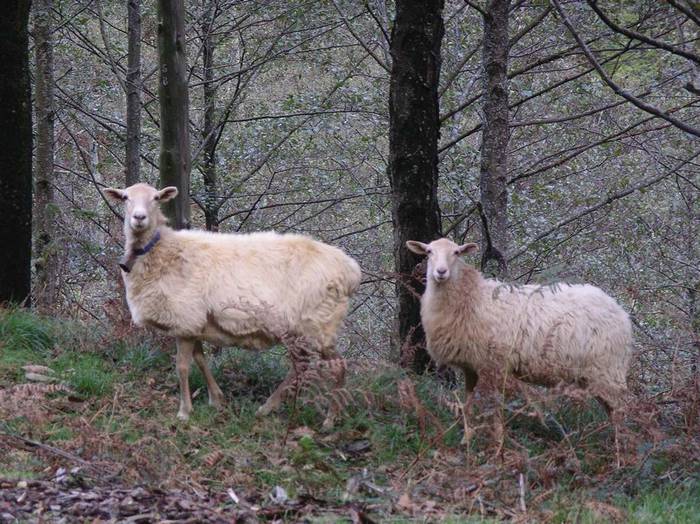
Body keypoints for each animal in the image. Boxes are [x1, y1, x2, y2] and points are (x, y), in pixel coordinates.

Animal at [106, 182, 364, 428]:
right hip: (301, 329)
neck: (161, 251)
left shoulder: (185, 319)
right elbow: (201, 359)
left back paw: (330, 418)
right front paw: (216, 399)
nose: (139, 218)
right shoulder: (195, 323)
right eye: (126, 197)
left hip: (319, 324)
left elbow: (182, 367)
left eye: (156, 198)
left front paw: (184, 412)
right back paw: (269, 408)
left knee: (337, 365)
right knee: (301, 366)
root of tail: (350, 270)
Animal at [404, 237, 636, 438]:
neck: (471, 297)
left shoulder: (494, 366)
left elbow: (495, 412)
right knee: (614, 414)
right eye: (429, 251)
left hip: (608, 371)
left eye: (457, 252)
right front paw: (467, 440)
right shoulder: (471, 367)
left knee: (621, 414)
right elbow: (468, 407)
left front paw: (497, 445)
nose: (441, 272)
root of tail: (621, 312)